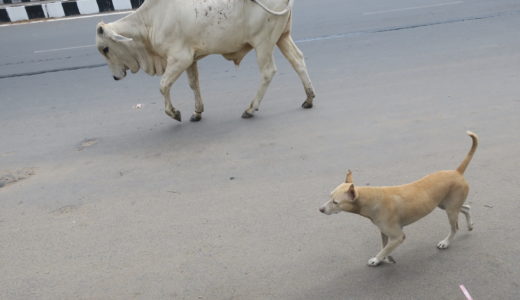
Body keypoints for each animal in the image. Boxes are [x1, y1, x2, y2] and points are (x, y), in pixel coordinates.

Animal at [95, 0, 314, 122]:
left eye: (105, 48)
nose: (115, 77)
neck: (150, 21)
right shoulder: (190, 59)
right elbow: (194, 84)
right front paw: (197, 112)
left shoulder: (179, 58)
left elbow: (163, 86)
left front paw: (174, 113)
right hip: (282, 37)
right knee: (298, 60)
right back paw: (309, 98)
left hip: (263, 43)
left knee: (268, 71)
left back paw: (250, 109)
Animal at [320, 132, 480, 266]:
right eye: (329, 196)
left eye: (335, 202)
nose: (320, 209)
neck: (372, 198)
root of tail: (456, 172)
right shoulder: (384, 232)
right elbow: (384, 246)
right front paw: (385, 258)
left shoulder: (397, 236)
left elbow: (385, 248)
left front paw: (377, 259)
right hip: (445, 204)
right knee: (466, 208)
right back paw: (470, 225)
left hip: (450, 209)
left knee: (455, 227)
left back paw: (446, 242)